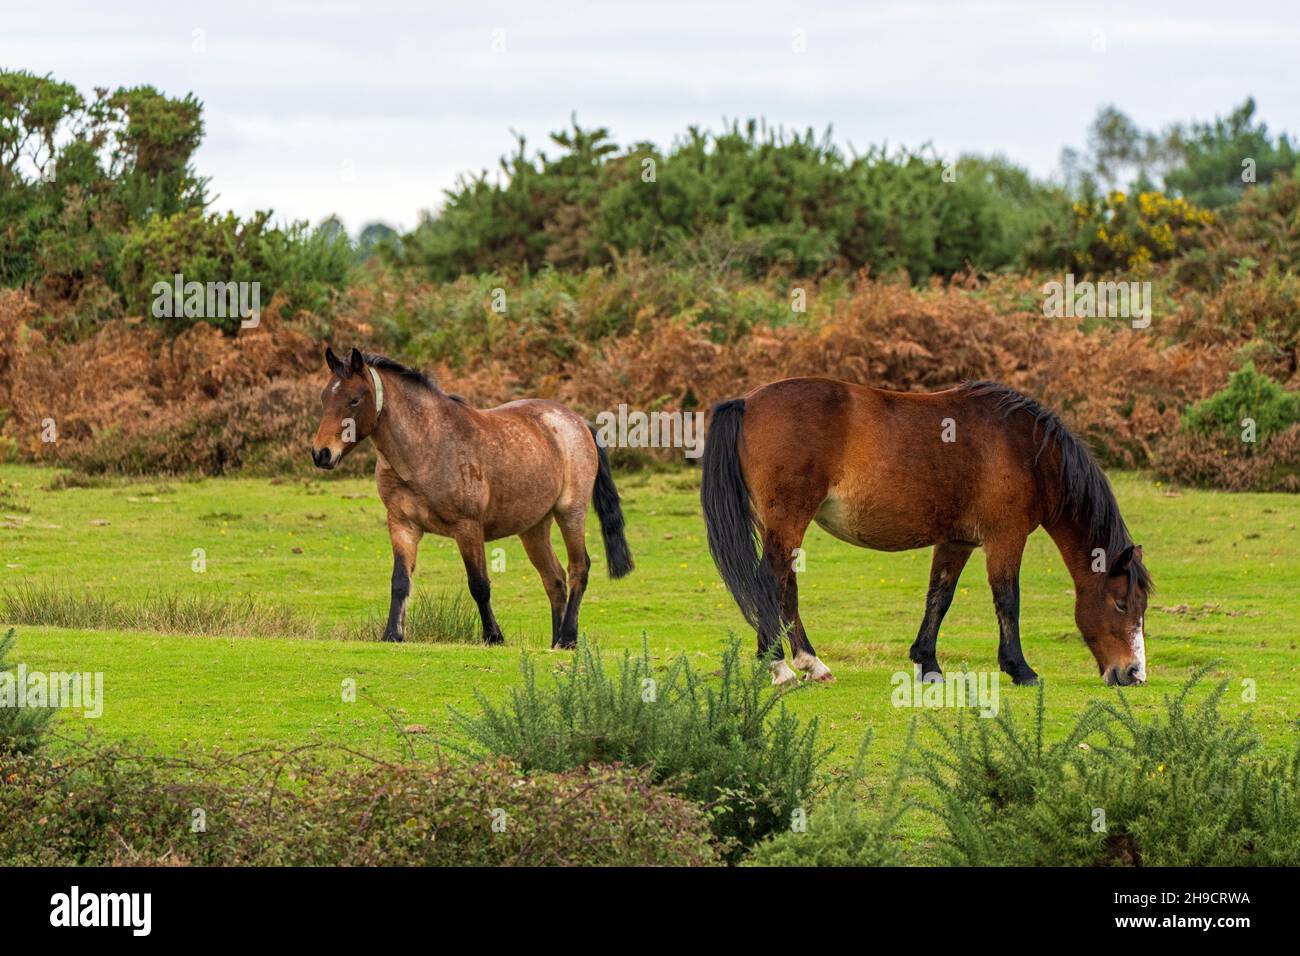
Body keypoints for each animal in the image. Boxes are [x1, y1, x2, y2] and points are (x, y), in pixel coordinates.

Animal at [304, 348, 629, 647]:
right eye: (323, 398)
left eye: (354, 399)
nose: (322, 454)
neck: (426, 447)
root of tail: (577, 422)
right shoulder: (402, 525)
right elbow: (400, 581)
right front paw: (392, 634)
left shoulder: (468, 527)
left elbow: (479, 585)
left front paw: (494, 636)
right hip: (534, 528)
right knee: (555, 580)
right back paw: (556, 640)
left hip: (570, 513)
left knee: (578, 569)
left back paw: (569, 638)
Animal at [707, 377, 1154, 686]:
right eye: (1120, 604)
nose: (1133, 673)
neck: (1028, 450)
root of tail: (747, 402)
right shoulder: (1005, 538)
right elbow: (1007, 600)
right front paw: (1020, 668)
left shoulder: (957, 541)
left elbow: (939, 597)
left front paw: (928, 662)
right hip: (787, 523)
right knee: (771, 584)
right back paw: (781, 665)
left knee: (784, 587)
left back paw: (809, 663)